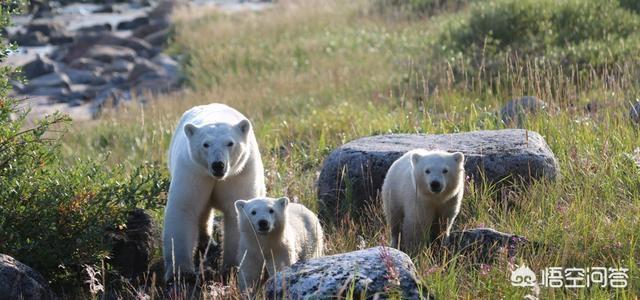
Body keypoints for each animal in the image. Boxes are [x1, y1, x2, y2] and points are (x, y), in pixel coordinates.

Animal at [165, 103, 268, 282]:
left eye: (230, 143)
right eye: (205, 144)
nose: (218, 165)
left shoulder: (239, 173)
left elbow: (237, 211)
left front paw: (231, 268)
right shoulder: (193, 170)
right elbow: (184, 208)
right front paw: (181, 272)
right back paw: (206, 240)